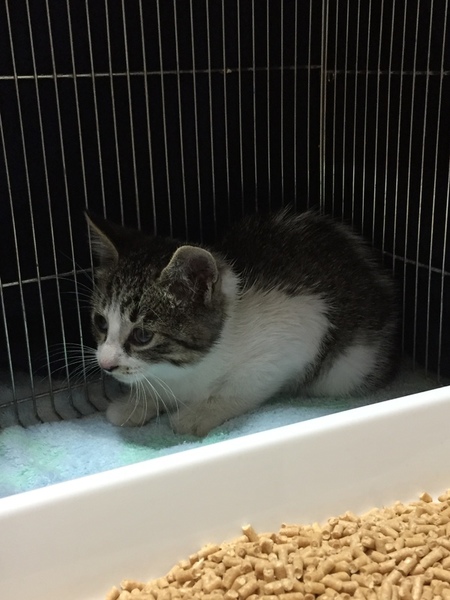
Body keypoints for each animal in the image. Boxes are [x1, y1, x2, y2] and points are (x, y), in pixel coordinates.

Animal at [86, 209, 399, 436]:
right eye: (100, 322)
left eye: (142, 335)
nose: (105, 364)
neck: (185, 370)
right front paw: (136, 404)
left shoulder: (301, 328)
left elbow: (240, 388)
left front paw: (197, 414)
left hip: (348, 369)